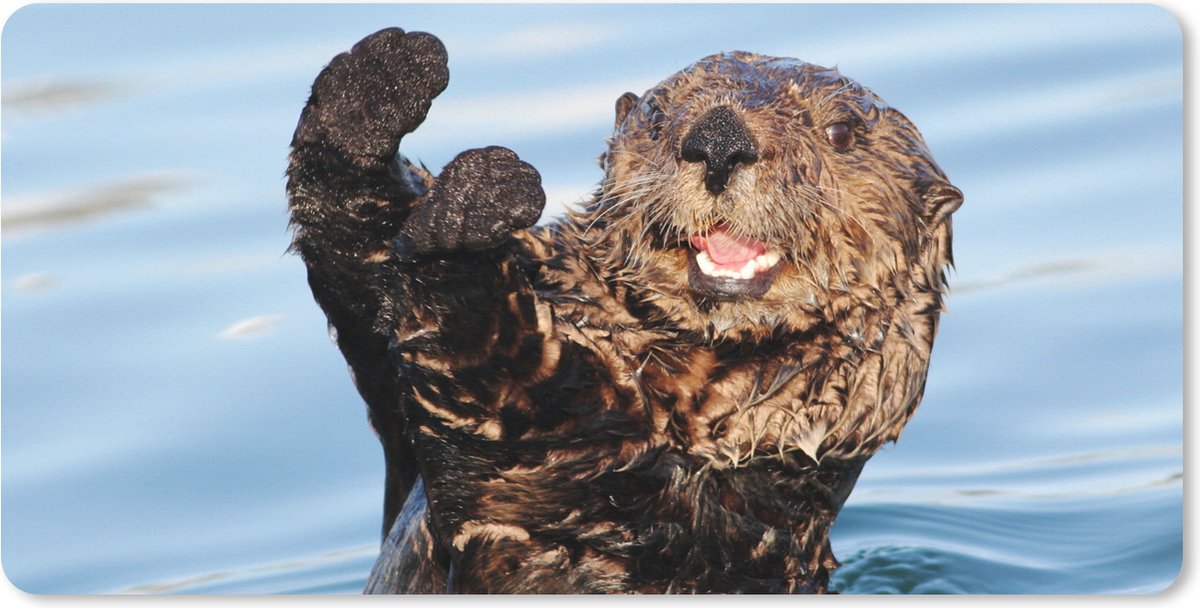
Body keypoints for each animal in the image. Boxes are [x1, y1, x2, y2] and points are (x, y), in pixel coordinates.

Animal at [287, 28, 961, 594]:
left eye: (841, 133)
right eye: (659, 117)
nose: (719, 140)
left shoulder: (632, 496)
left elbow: (504, 385)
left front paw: (472, 209)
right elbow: (363, 276)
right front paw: (379, 83)